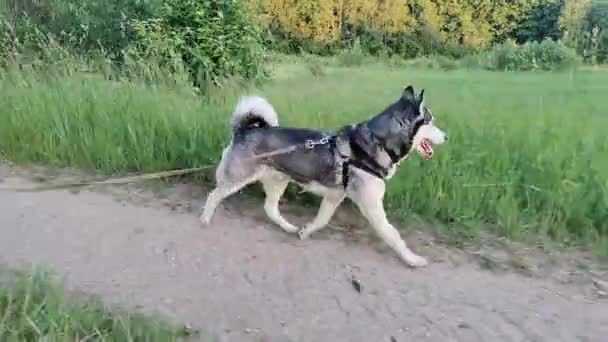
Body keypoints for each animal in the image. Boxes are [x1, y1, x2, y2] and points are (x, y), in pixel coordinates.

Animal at [201, 85, 446, 268]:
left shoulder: (334, 197)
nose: (446, 136)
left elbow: (322, 220)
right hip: (239, 177)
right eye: (431, 121)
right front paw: (412, 259)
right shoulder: (371, 206)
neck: (377, 142)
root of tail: (245, 130)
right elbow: (393, 235)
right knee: (214, 195)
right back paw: (205, 219)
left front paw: (306, 231)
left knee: (270, 208)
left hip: (278, 180)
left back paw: (289, 227)